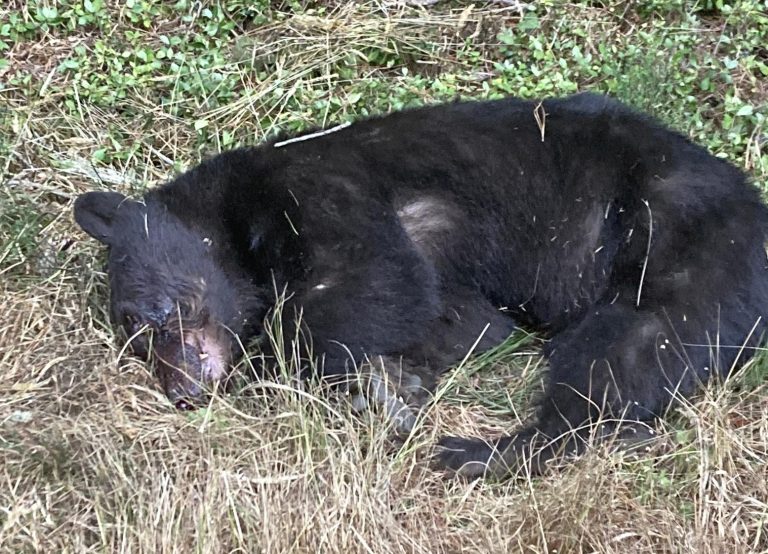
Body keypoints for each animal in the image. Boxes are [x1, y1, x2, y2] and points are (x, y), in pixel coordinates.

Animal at [74, 92, 768, 478]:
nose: (183, 391)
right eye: (134, 341)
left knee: (626, 349)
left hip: (677, 240)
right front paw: (398, 379)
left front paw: (357, 385)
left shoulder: (324, 187)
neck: (240, 209)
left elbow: (375, 277)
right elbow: (465, 323)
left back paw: (481, 453)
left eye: (148, 315)